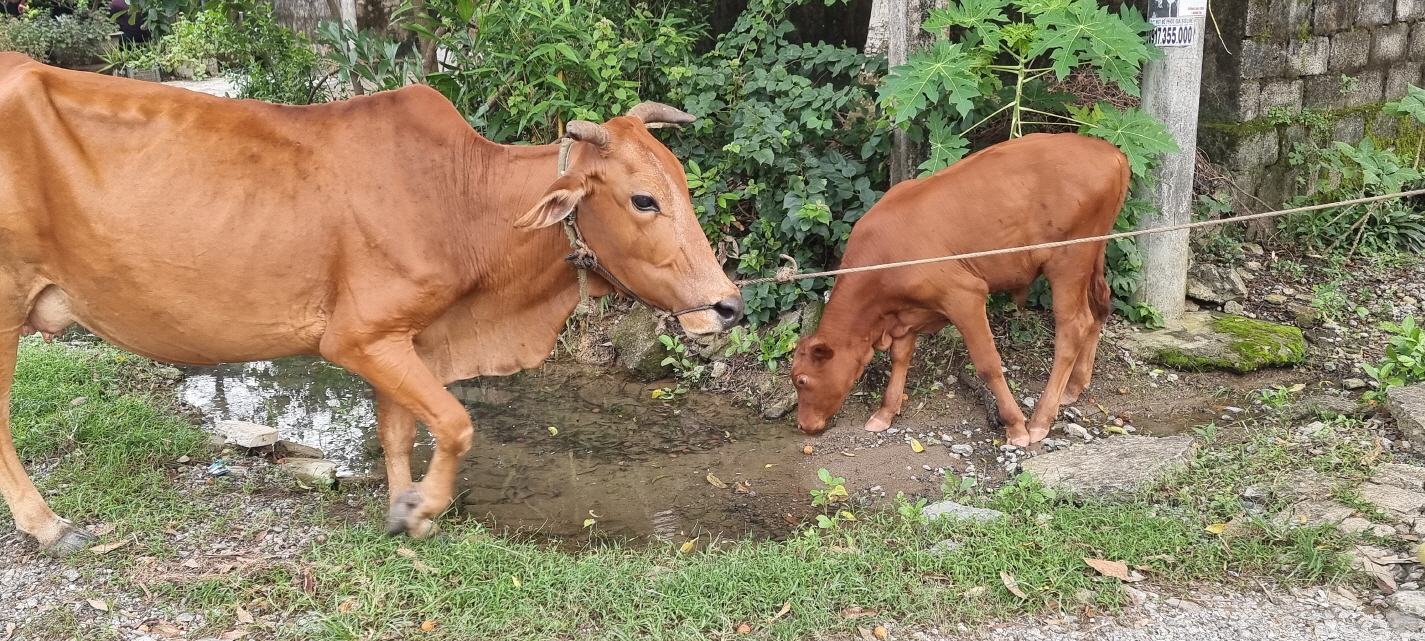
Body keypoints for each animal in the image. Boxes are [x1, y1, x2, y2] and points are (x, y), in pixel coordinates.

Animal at [2, 53, 746, 555]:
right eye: (643, 199)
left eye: (681, 182)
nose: (728, 306)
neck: (462, 202)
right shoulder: (357, 338)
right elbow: (456, 422)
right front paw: (420, 511)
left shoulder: (401, 337)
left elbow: (399, 432)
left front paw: (399, 505)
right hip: (6, 303)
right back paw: (49, 527)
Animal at [786, 131, 1128, 444]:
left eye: (802, 380)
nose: (803, 425)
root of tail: (1110, 151)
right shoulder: (907, 311)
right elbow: (900, 356)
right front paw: (885, 412)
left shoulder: (964, 295)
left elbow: (987, 363)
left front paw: (1015, 426)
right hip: (1093, 254)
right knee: (1100, 307)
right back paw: (1073, 387)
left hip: (1068, 260)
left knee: (1073, 327)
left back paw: (1041, 420)